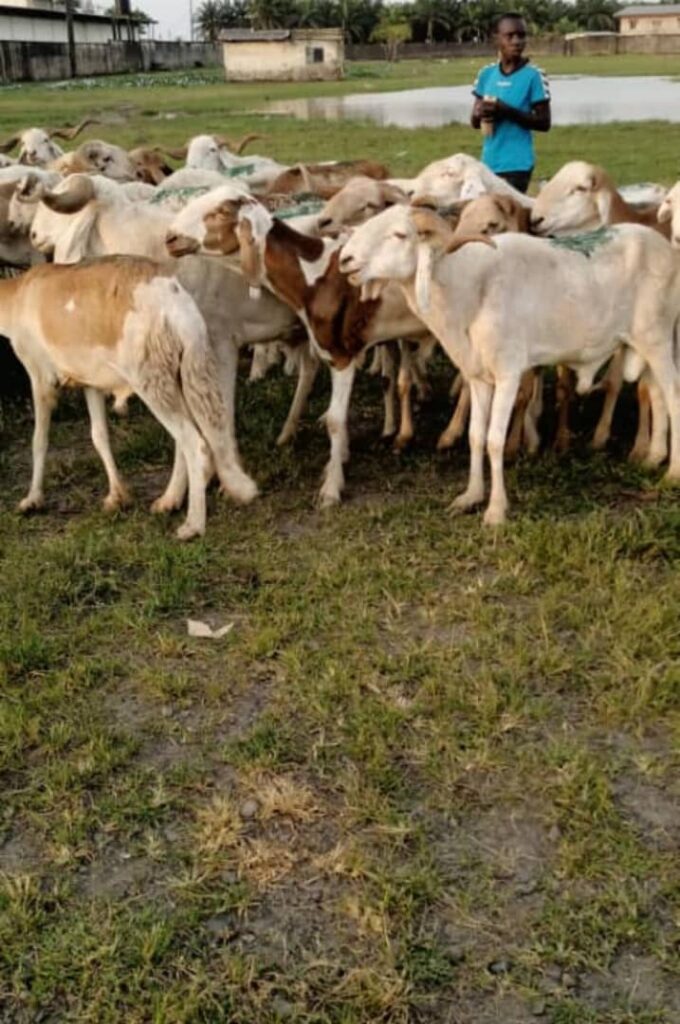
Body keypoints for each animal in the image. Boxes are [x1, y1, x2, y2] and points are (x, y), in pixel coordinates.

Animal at [1, 256, 256, 539]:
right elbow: (99, 436)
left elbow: (39, 440)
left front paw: (32, 500)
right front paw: (117, 497)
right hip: (192, 370)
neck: (16, 296)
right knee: (207, 429)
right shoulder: (90, 383)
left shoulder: (40, 376)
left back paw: (192, 526)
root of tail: (173, 302)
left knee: (194, 443)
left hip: (151, 380)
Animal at [339, 205, 680, 525]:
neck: (469, 289)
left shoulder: (508, 374)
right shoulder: (478, 378)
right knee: (657, 395)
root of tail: (664, 248)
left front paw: (496, 511)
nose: (344, 259)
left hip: (657, 339)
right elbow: (475, 436)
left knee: (673, 398)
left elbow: (494, 441)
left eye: (399, 234)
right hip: (648, 345)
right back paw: (652, 458)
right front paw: (470, 496)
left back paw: (673, 473)